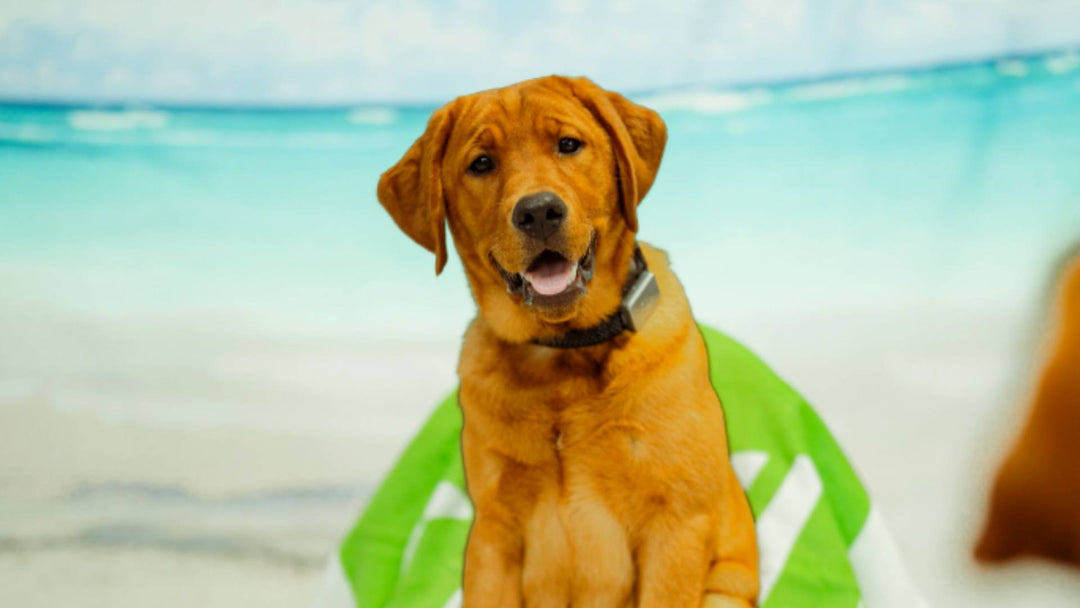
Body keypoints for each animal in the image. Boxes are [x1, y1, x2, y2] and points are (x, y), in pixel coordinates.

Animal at [380, 76, 760, 608]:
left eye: (568, 144)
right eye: (481, 163)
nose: (539, 211)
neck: (564, 355)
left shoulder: (675, 524)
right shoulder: (494, 532)